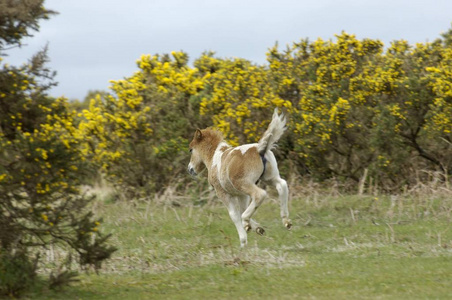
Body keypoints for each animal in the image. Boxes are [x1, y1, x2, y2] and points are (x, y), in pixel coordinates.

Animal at [188, 109, 292, 247]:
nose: (190, 169)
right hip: (269, 178)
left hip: (243, 183)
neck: (215, 157)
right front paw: (258, 228)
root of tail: (259, 149)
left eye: (191, 149)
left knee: (259, 195)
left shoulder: (223, 193)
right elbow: (243, 209)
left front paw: (243, 241)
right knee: (282, 185)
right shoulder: (242, 195)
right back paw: (286, 221)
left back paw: (246, 220)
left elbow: (235, 215)